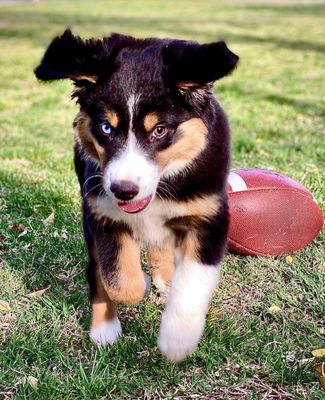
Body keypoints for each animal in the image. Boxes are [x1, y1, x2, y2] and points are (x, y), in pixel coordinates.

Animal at [34, 30, 238, 362]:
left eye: (160, 130)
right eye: (105, 127)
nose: (124, 189)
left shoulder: (209, 214)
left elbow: (193, 280)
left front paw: (177, 339)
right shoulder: (101, 210)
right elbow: (117, 277)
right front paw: (133, 291)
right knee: (99, 269)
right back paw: (104, 330)